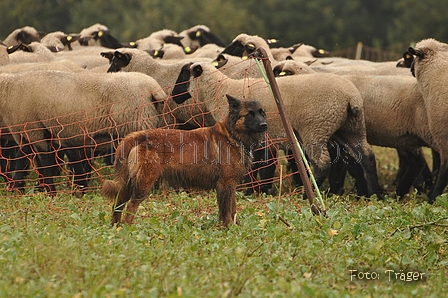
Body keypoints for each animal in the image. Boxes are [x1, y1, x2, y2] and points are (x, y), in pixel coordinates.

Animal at [103, 95, 268, 226]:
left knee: (118, 205)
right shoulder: (226, 184)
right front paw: (229, 227)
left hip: (128, 184)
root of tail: (134, 136)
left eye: (262, 113)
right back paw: (127, 228)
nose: (264, 125)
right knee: (131, 206)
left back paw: (116, 227)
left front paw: (236, 226)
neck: (232, 135)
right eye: (250, 114)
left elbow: (233, 209)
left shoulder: (230, 184)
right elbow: (227, 210)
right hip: (144, 182)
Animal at [170, 60, 384, 197]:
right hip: (351, 127)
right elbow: (257, 166)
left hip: (316, 127)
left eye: (184, 74)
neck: (220, 91)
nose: (173, 95)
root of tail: (351, 98)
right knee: (367, 156)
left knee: (324, 163)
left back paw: (309, 194)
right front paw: (254, 191)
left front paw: (249, 191)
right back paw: (374, 194)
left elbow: (253, 167)